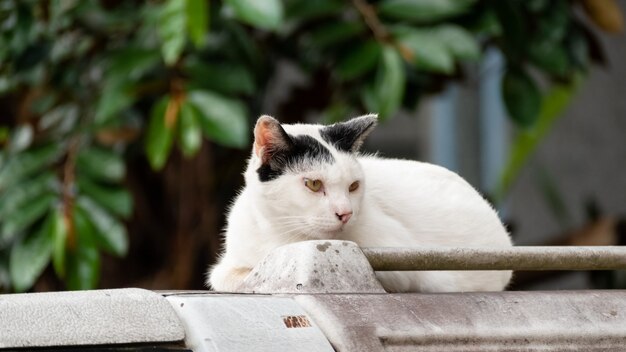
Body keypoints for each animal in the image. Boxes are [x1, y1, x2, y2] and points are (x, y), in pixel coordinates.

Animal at [207, 114, 510, 292]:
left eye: (353, 186)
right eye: (314, 184)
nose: (345, 213)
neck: (279, 234)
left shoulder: (408, 267)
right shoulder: (229, 263)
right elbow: (228, 276)